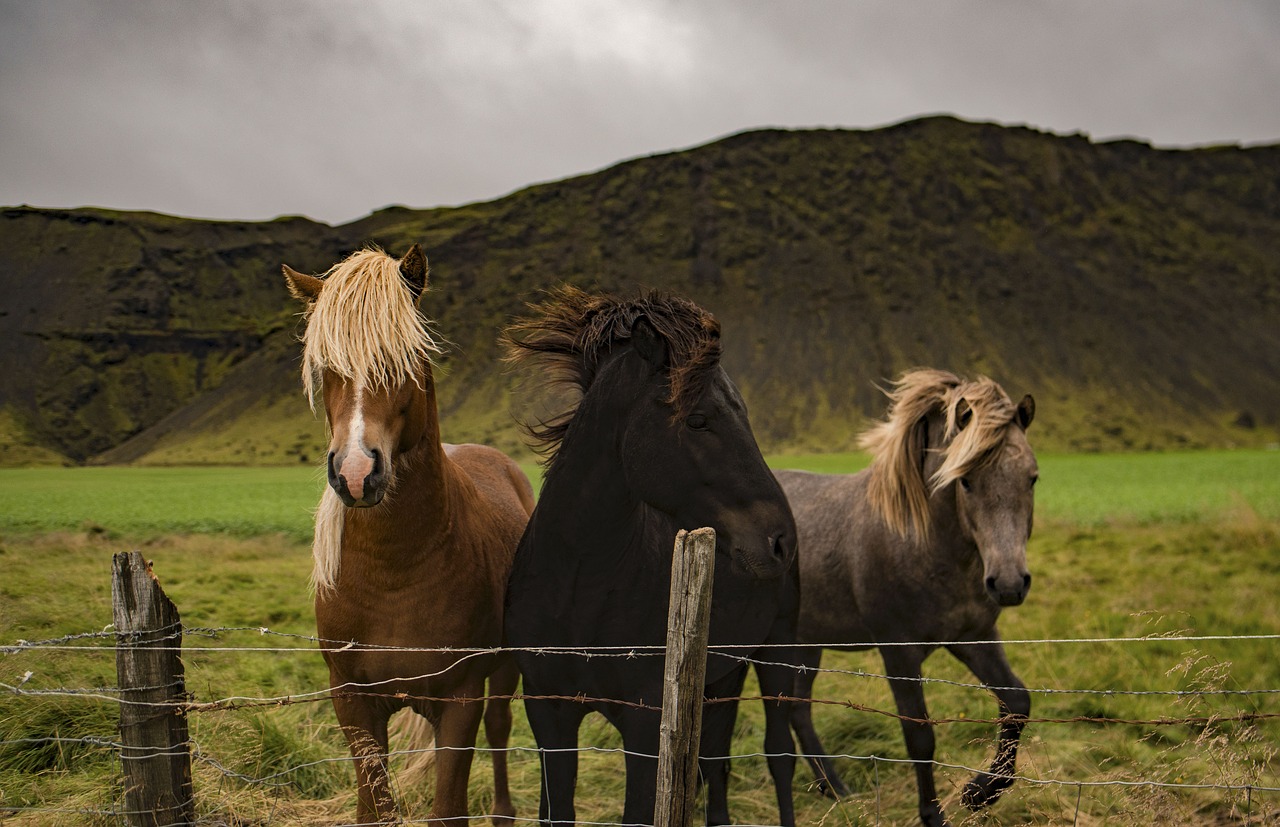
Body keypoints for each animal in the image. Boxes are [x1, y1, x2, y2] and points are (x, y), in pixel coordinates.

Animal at [285, 244, 535, 824]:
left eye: (404, 361)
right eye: (326, 368)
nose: (356, 473)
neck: (393, 572)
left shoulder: (461, 699)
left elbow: (448, 807)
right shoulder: (352, 700)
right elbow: (373, 809)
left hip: (504, 670)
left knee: (501, 729)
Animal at [773, 371, 1034, 827]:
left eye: (1032, 478)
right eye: (965, 480)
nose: (1007, 583)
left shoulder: (975, 637)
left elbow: (1016, 701)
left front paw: (979, 793)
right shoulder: (899, 652)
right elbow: (919, 736)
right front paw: (934, 814)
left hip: (806, 643)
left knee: (797, 709)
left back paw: (835, 789)